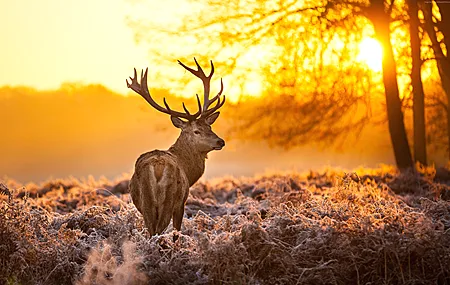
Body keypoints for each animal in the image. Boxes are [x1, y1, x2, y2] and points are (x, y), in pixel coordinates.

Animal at [125, 58, 225, 235]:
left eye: (210, 127)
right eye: (197, 131)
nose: (220, 141)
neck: (188, 171)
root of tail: (157, 167)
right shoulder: (181, 203)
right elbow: (176, 232)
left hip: (146, 203)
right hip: (169, 200)